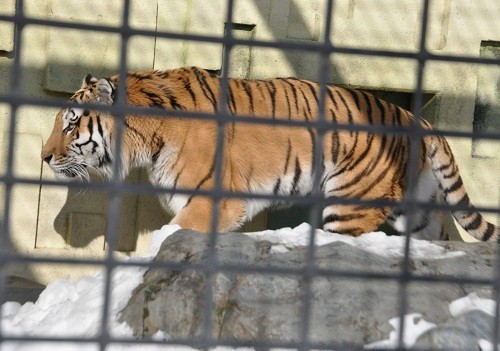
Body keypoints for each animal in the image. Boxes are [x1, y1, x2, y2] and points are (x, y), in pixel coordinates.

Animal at [40, 66, 500, 242]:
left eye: (71, 125)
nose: (43, 157)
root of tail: (416, 118)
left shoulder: (213, 200)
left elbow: (170, 236)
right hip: (416, 210)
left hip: (349, 202)